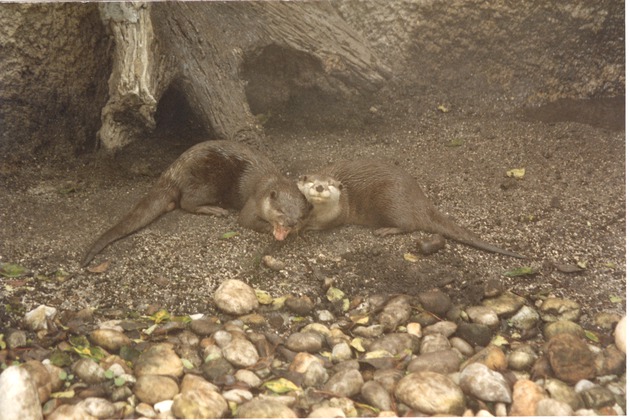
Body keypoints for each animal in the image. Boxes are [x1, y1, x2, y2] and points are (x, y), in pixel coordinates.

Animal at [83, 140, 312, 266]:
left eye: (300, 216)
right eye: (280, 210)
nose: (290, 223)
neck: (270, 182)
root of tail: (174, 169)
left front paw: (298, 233)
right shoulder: (254, 201)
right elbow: (246, 221)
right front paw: (271, 229)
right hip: (205, 184)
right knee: (186, 202)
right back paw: (214, 209)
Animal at [300, 159, 528, 260]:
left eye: (330, 184)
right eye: (311, 181)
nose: (319, 187)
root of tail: (420, 199)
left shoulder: (337, 214)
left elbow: (323, 225)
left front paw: (308, 227)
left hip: (390, 201)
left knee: (408, 224)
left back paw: (386, 230)